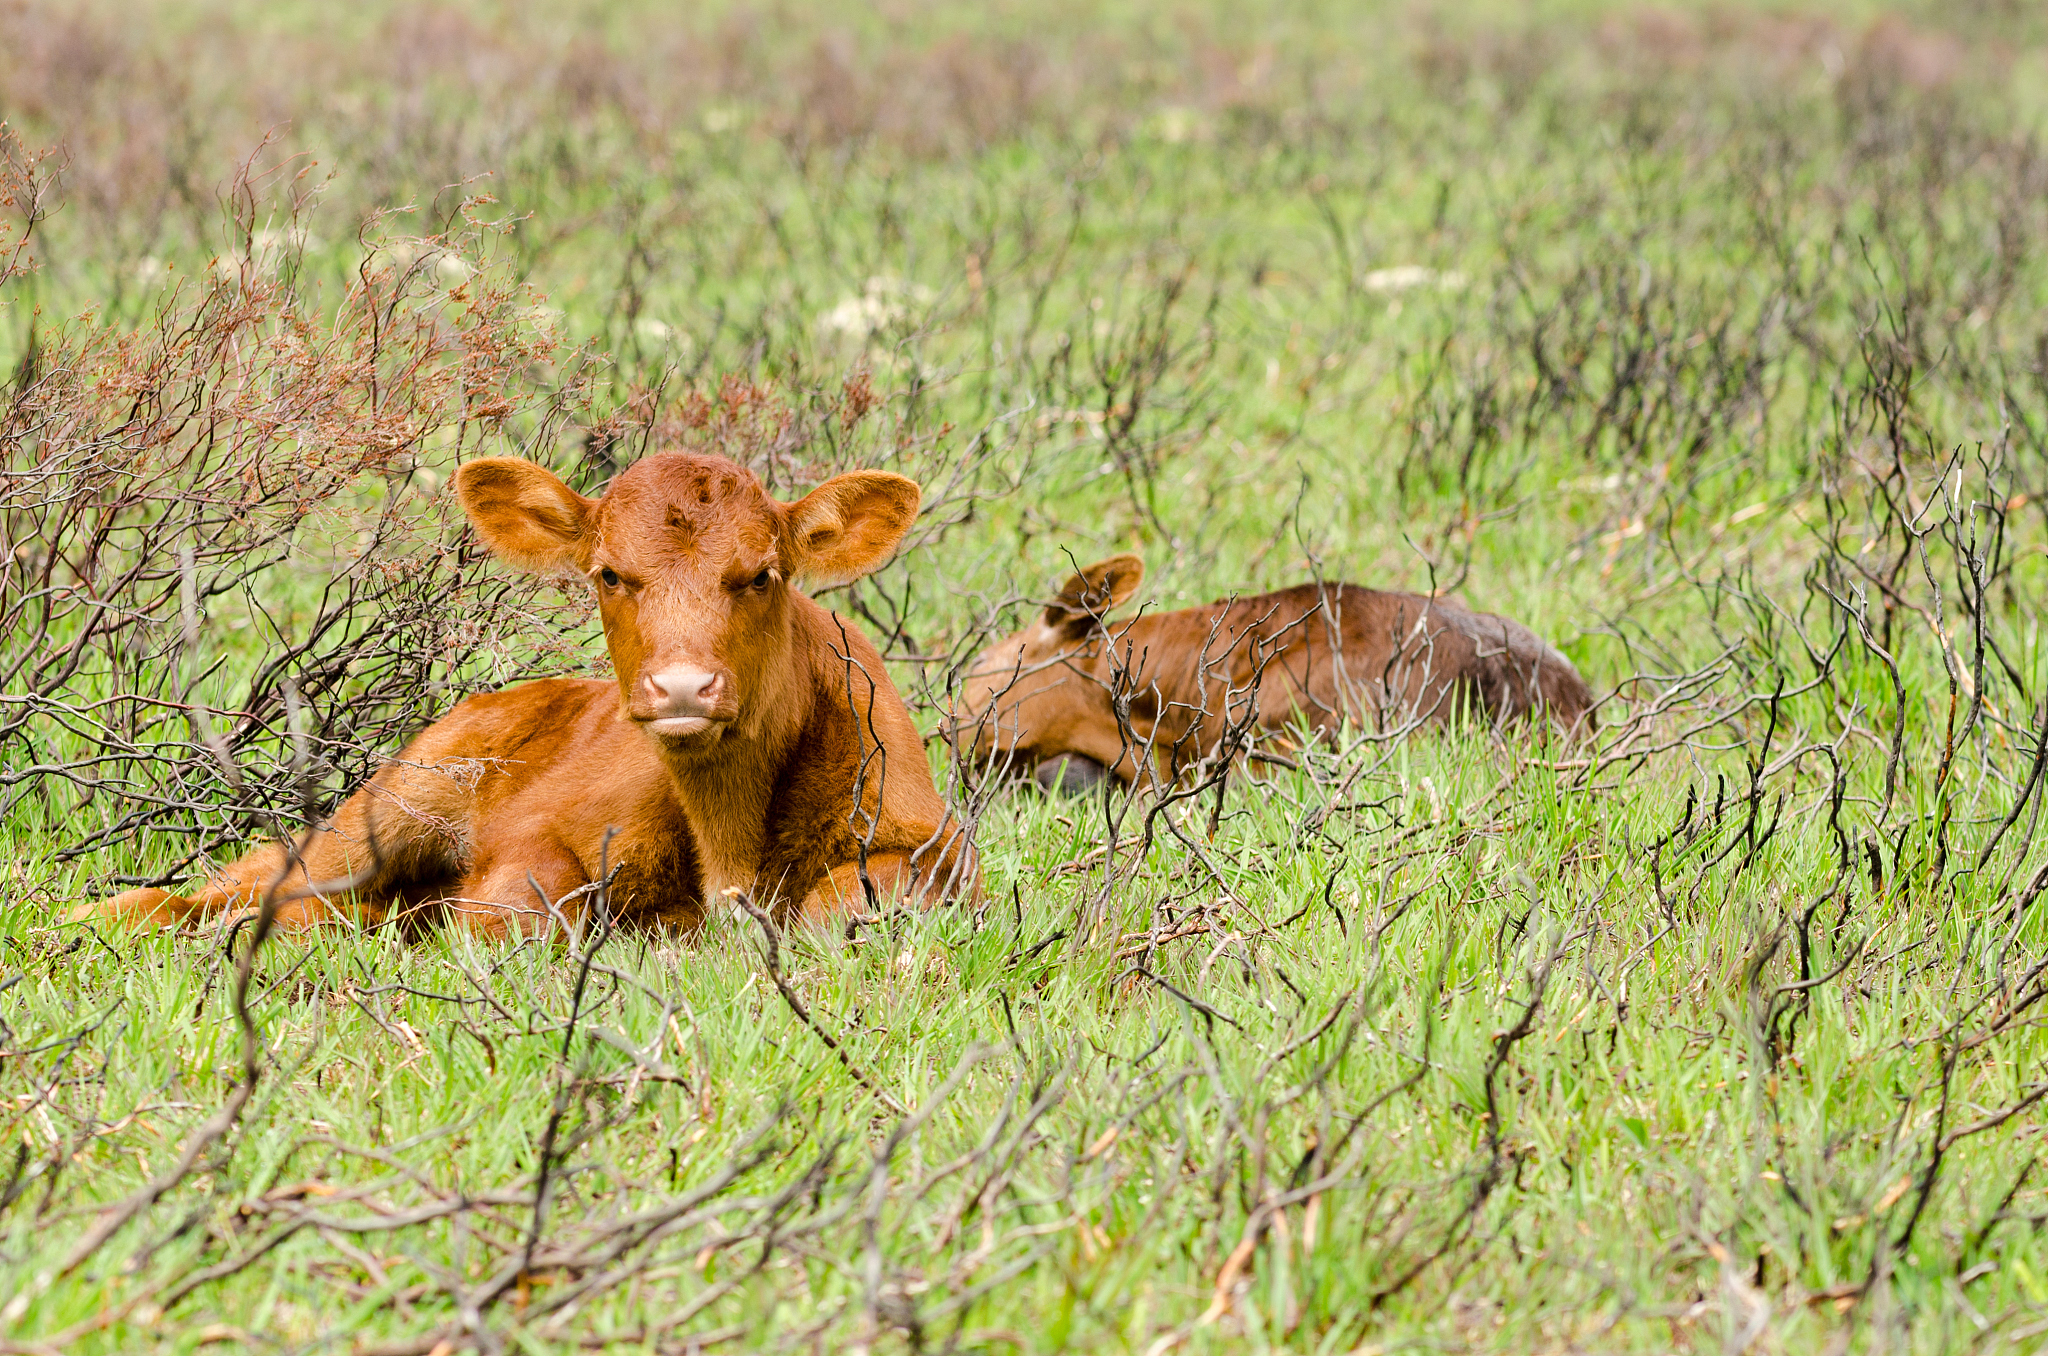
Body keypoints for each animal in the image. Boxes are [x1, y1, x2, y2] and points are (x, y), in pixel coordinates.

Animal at [78, 451, 978, 935]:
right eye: (609, 573)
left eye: (761, 575)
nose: (682, 686)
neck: (731, 843)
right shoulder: (543, 835)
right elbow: (519, 903)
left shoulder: (932, 847)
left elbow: (857, 898)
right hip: (387, 809)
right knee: (242, 886)